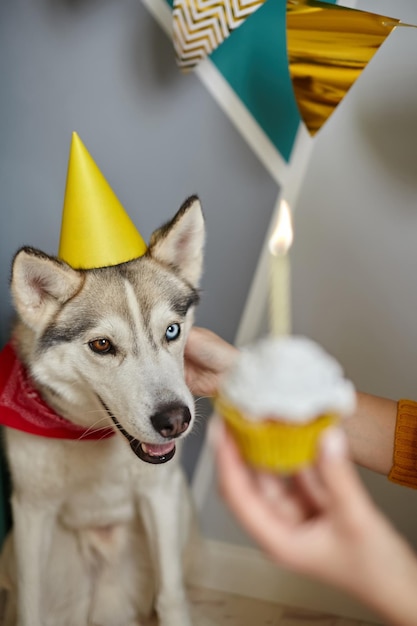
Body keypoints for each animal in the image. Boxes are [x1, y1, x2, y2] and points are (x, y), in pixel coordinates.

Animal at [0, 195, 205, 624]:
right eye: (102, 345)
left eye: (172, 330)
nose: (175, 420)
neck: (95, 438)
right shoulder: (31, 512)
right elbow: (30, 606)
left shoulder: (161, 494)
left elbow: (171, 596)